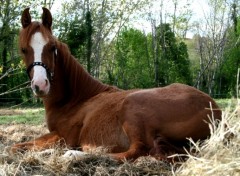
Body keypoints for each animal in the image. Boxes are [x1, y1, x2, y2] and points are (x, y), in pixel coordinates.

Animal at [10, 7, 221, 162]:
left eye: (52, 47)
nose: (40, 85)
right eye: (23, 49)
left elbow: (18, 147)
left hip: (132, 107)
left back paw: (74, 155)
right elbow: (20, 146)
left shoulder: (65, 136)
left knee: (136, 150)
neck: (76, 100)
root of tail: (216, 111)